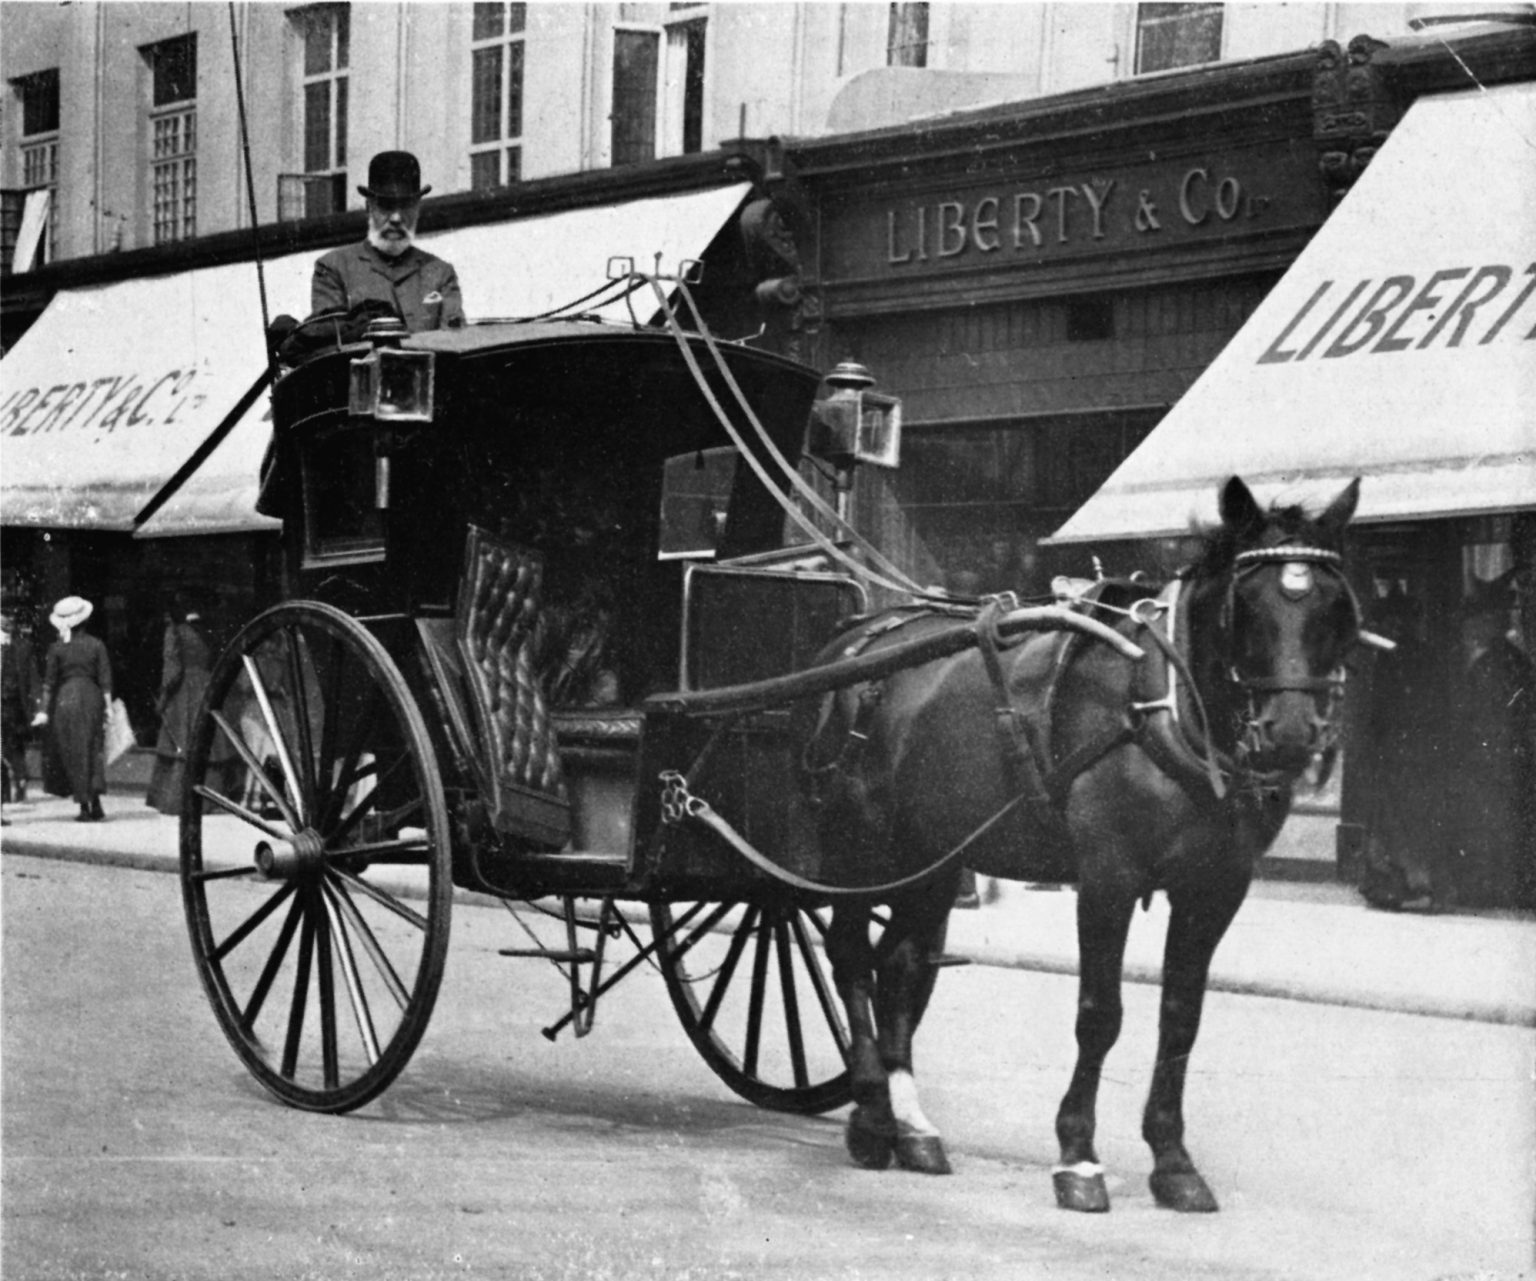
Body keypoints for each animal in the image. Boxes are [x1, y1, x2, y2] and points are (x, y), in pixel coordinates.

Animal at [811, 476, 1363, 1210]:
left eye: (1334, 602)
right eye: (1246, 603)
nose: (1293, 735)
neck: (1163, 708)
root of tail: (858, 638)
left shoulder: (1215, 890)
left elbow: (1181, 1017)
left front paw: (1173, 1161)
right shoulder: (1108, 878)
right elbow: (1101, 1013)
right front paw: (1078, 1156)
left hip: (933, 856)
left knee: (899, 966)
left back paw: (915, 1128)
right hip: (860, 847)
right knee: (848, 956)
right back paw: (872, 1116)